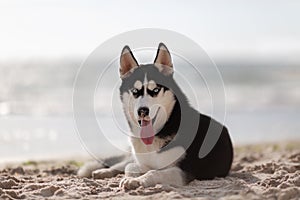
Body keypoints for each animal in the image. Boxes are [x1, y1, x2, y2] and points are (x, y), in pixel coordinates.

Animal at [77, 42, 232, 189]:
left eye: (156, 90)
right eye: (135, 91)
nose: (142, 111)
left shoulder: (181, 172)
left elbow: (153, 172)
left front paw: (137, 180)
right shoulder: (141, 162)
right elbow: (132, 166)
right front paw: (131, 177)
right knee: (124, 162)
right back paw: (103, 171)